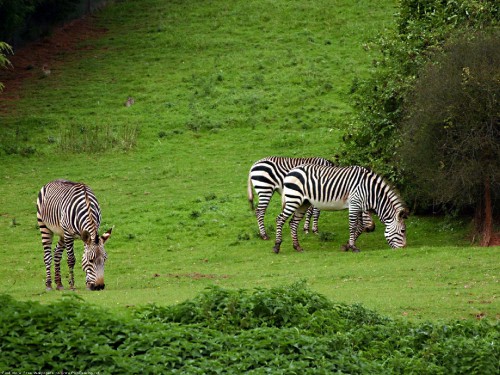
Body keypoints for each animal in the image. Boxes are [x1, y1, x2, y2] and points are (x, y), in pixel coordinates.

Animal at [247, 156, 376, 239]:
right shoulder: (318, 191)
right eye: (367, 210)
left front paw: (306, 228)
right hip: (265, 189)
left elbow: (310, 211)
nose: (372, 229)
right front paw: (314, 230)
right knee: (260, 211)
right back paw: (264, 235)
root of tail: (253, 165)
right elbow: (316, 212)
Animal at [272, 166, 408, 254]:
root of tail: (291, 171)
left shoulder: (360, 207)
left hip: (303, 203)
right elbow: (353, 227)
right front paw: (353, 247)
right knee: (280, 219)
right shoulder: (354, 204)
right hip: (294, 199)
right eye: (403, 231)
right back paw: (277, 246)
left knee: (293, 223)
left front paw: (346, 246)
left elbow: (360, 227)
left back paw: (297, 247)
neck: (371, 191)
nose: (403, 249)